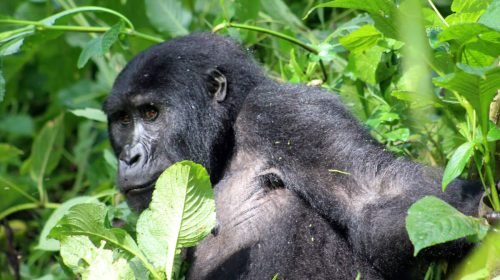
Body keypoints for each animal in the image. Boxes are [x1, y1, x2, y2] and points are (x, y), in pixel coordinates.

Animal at [104, 32, 484, 278]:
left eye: (151, 113)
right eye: (123, 120)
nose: (129, 157)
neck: (226, 140)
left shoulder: (288, 111)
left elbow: (377, 197)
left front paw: (479, 212)